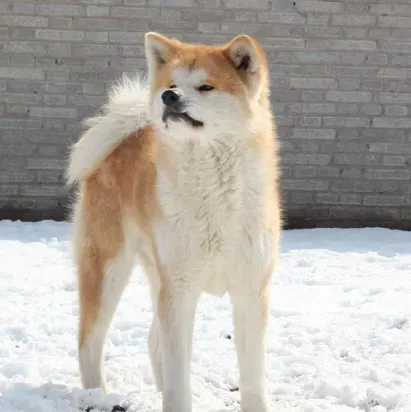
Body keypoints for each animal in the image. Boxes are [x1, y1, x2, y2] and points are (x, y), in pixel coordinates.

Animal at [67, 32, 284, 412]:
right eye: (171, 85)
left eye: (206, 86)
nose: (169, 97)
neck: (213, 189)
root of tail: (123, 139)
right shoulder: (180, 289)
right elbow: (178, 379)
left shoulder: (250, 291)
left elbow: (252, 379)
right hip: (108, 268)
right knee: (89, 340)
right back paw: (97, 395)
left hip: (157, 277)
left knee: (153, 342)